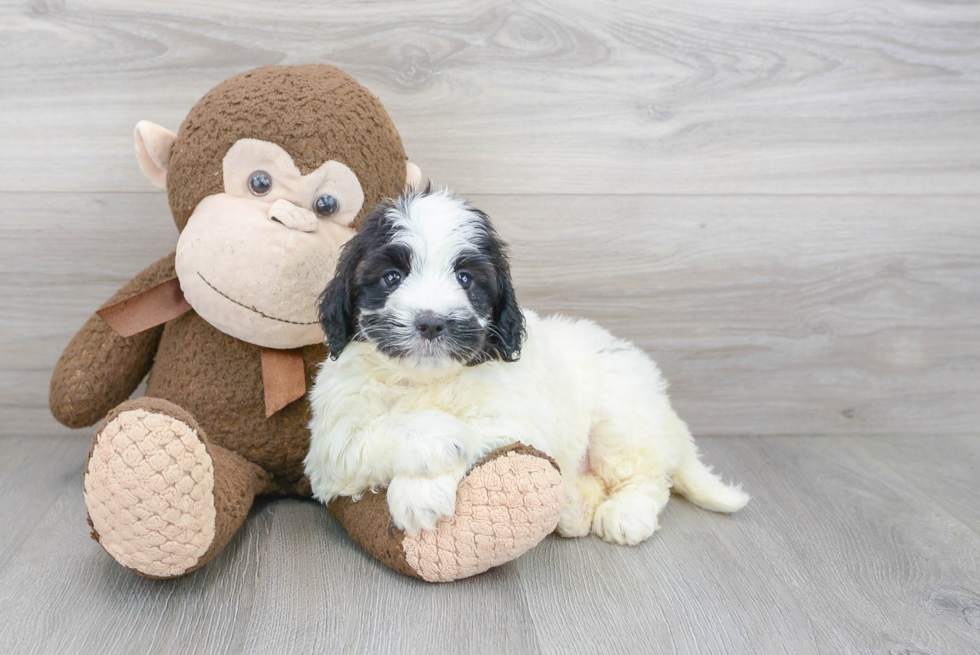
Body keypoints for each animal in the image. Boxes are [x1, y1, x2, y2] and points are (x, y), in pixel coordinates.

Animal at [306, 188, 752, 544]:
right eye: (392, 277)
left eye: (466, 278)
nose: (431, 322)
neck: (425, 380)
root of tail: (666, 411)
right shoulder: (330, 443)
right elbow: (368, 436)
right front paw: (436, 442)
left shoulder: (517, 418)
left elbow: (480, 430)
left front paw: (418, 494)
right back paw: (572, 509)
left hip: (623, 420)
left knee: (647, 476)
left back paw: (626, 514)